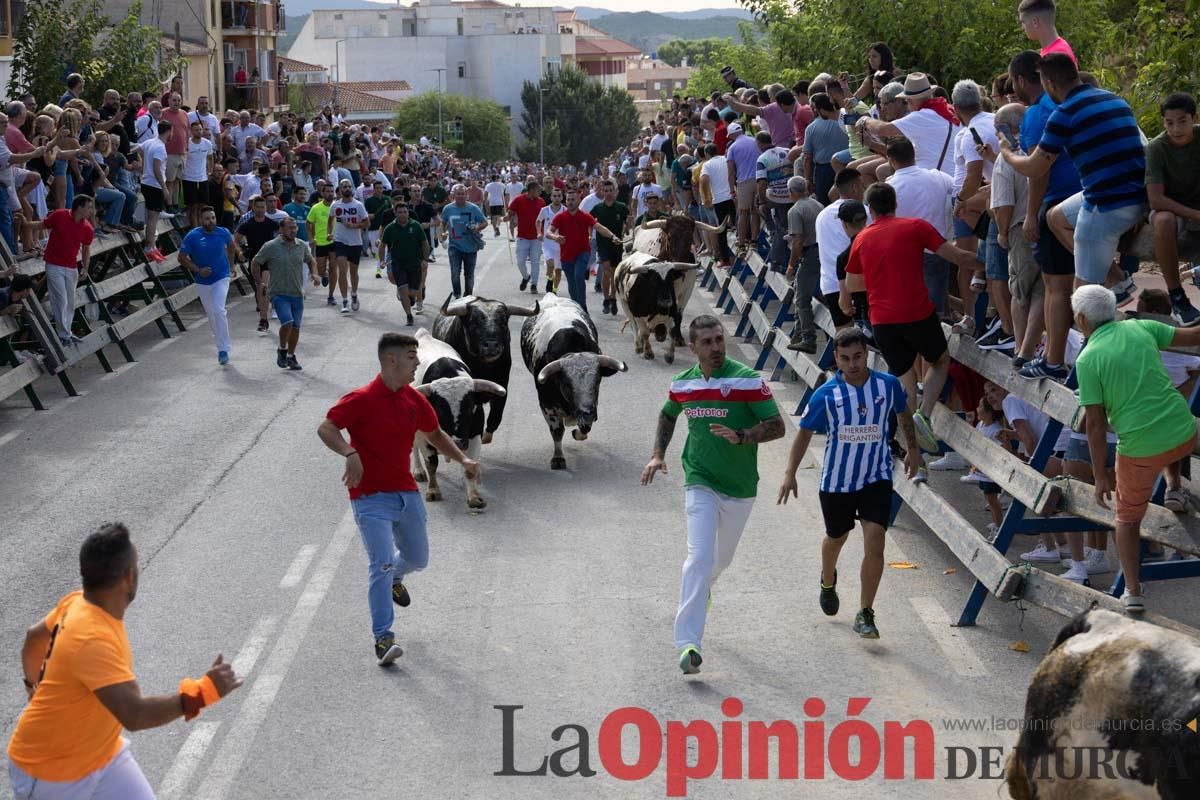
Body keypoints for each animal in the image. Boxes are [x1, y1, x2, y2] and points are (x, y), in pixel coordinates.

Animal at [412, 328, 506, 510]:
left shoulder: (475, 435)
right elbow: (431, 463)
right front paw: (433, 491)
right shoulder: (423, 435)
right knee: (413, 449)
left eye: (470, 408)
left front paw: (474, 497)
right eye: (439, 410)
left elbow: (469, 469)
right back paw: (418, 471)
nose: (457, 443)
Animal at [434, 293, 537, 443]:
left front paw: (486, 436)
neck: (484, 368)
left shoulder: (502, 386)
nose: (492, 345)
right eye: (473, 322)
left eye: (503, 322)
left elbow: (496, 415)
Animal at [518, 293, 628, 470]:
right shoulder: (547, 404)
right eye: (568, 385)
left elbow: (584, 429)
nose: (587, 411)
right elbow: (557, 431)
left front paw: (578, 433)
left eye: (597, 382)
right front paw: (558, 458)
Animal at [619, 212, 720, 362]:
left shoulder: (687, 290)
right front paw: (658, 333)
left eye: (690, 238)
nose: (681, 266)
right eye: (670, 237)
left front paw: (678, 338)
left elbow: (678, 313)